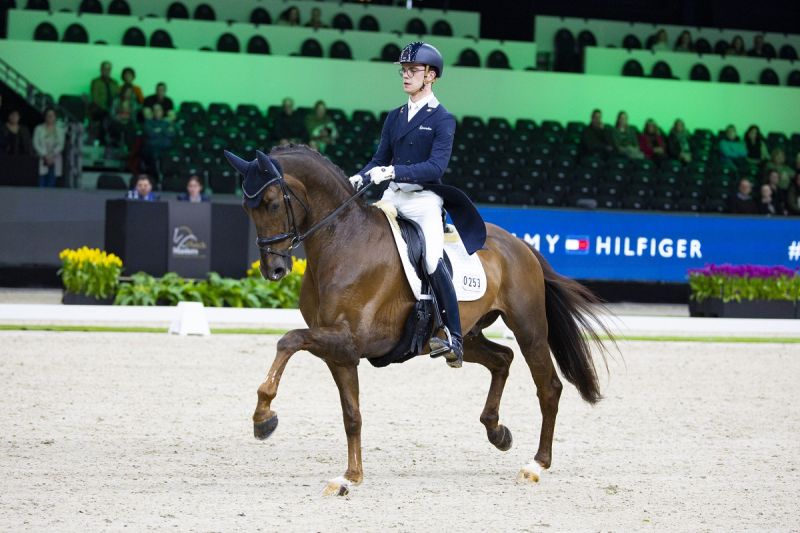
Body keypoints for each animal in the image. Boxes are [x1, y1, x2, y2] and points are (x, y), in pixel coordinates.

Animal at [228, 144, 608, 494]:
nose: (274, 270)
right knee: (502, 358)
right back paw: (497, 432)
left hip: (529, 328)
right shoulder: (340, 351)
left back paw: (536, 465)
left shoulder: (348, 339)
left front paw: (263, 417)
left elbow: (288, 340)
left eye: (272, 203)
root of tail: (520, 244)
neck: (343, 243)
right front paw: (350, 476)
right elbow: (351, 414)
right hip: (467, 336)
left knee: (549, 386)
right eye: (247, 207)